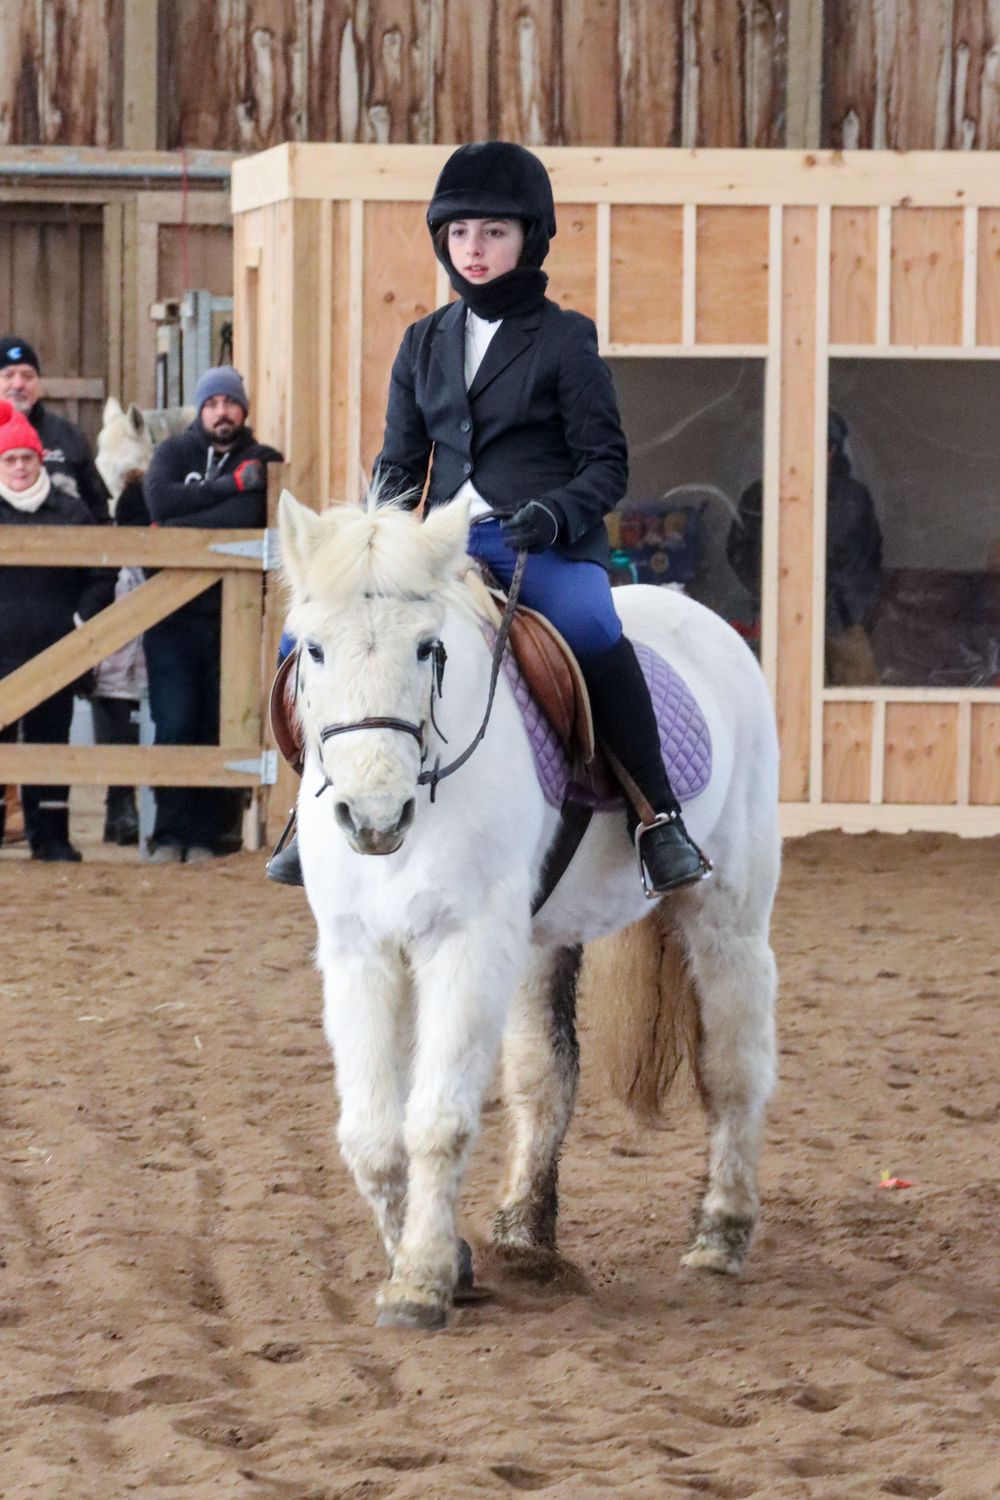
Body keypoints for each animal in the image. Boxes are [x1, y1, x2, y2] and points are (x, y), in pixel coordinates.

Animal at [278, 486, 780, 1331]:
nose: (374, 818)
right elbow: (373, 1136)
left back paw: (722, 1235)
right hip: (542, 940)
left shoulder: (466, 942)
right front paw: (447, 1260)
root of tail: (704, 619)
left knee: (733, 1069)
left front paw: (420, 1281)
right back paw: (521, 1234)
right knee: (546, 1076)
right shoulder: (357, 951)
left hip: (727, 919)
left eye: (429, 648)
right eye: (312, 649)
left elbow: (438, 1122)